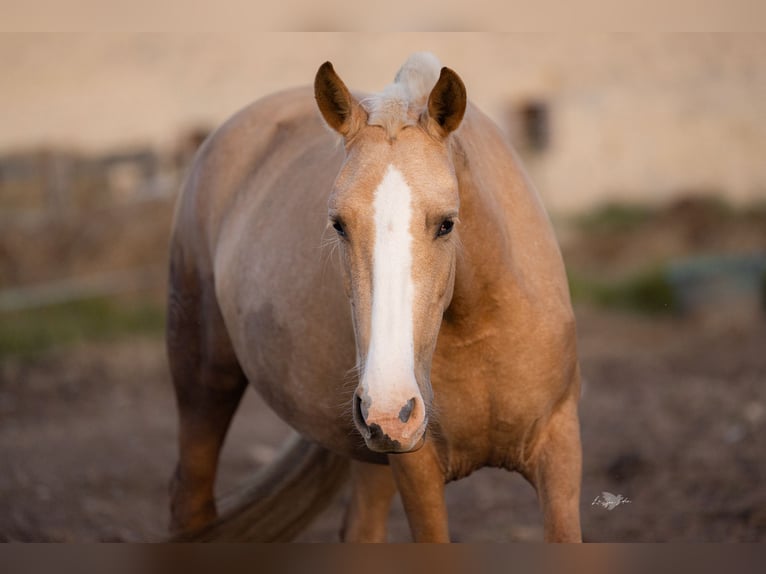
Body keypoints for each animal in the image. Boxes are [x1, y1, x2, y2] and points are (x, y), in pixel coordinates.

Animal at [166, 51, 584, 544]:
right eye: (338, 224)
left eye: (447, 223)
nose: (389, 407)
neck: (480, 328)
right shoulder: (418, 469)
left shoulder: (559, 449)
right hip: (205, 384)